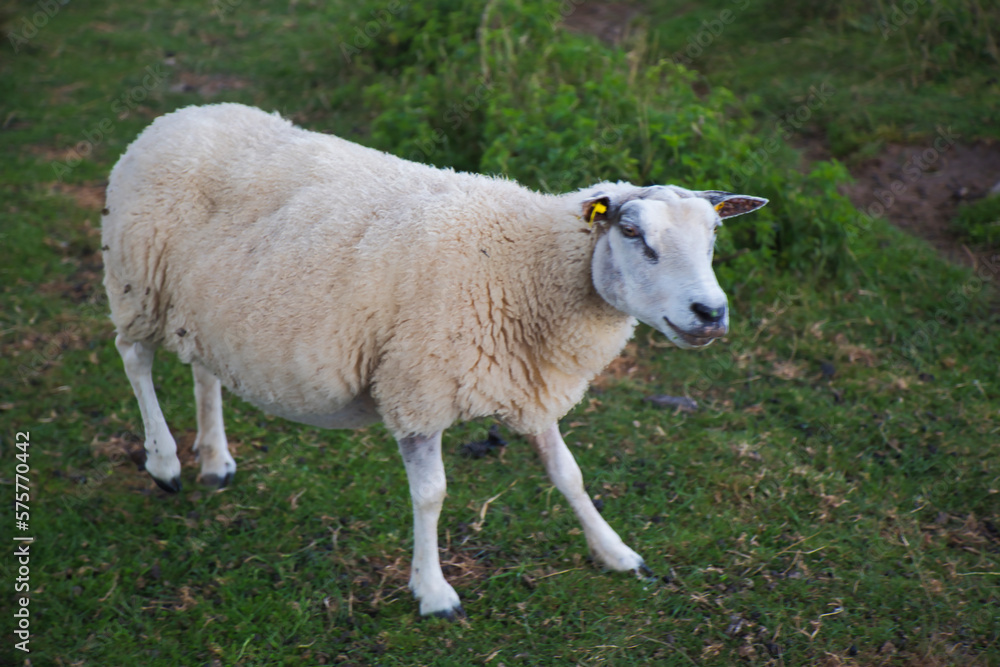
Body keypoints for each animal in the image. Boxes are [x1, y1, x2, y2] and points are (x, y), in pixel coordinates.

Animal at [102, 103, 767, 619]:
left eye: (713, 238)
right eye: (633, 235)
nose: (711, 313)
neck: (520, 264)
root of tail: (177, 117)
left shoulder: (528, 382)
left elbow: (568, 473)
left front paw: (615, 552)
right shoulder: (417, 388)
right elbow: (431, 495)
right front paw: (434, 592)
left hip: (204, 303)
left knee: (202, 367)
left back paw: (215, 460)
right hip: (138, 277)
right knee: (134, 360)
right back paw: (165, 462)